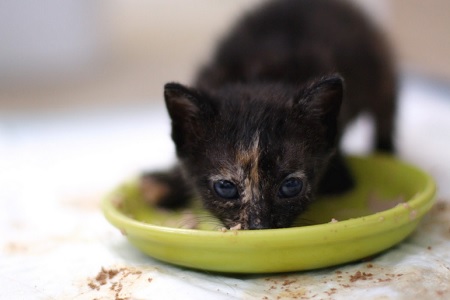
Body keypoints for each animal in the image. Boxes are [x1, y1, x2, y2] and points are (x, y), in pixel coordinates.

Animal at [142, 0, 398, 230]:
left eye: (291, 186)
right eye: (225, 188)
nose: (259, 226)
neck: (258, 76)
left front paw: (340, 176)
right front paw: (166, 184)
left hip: (377, 66)